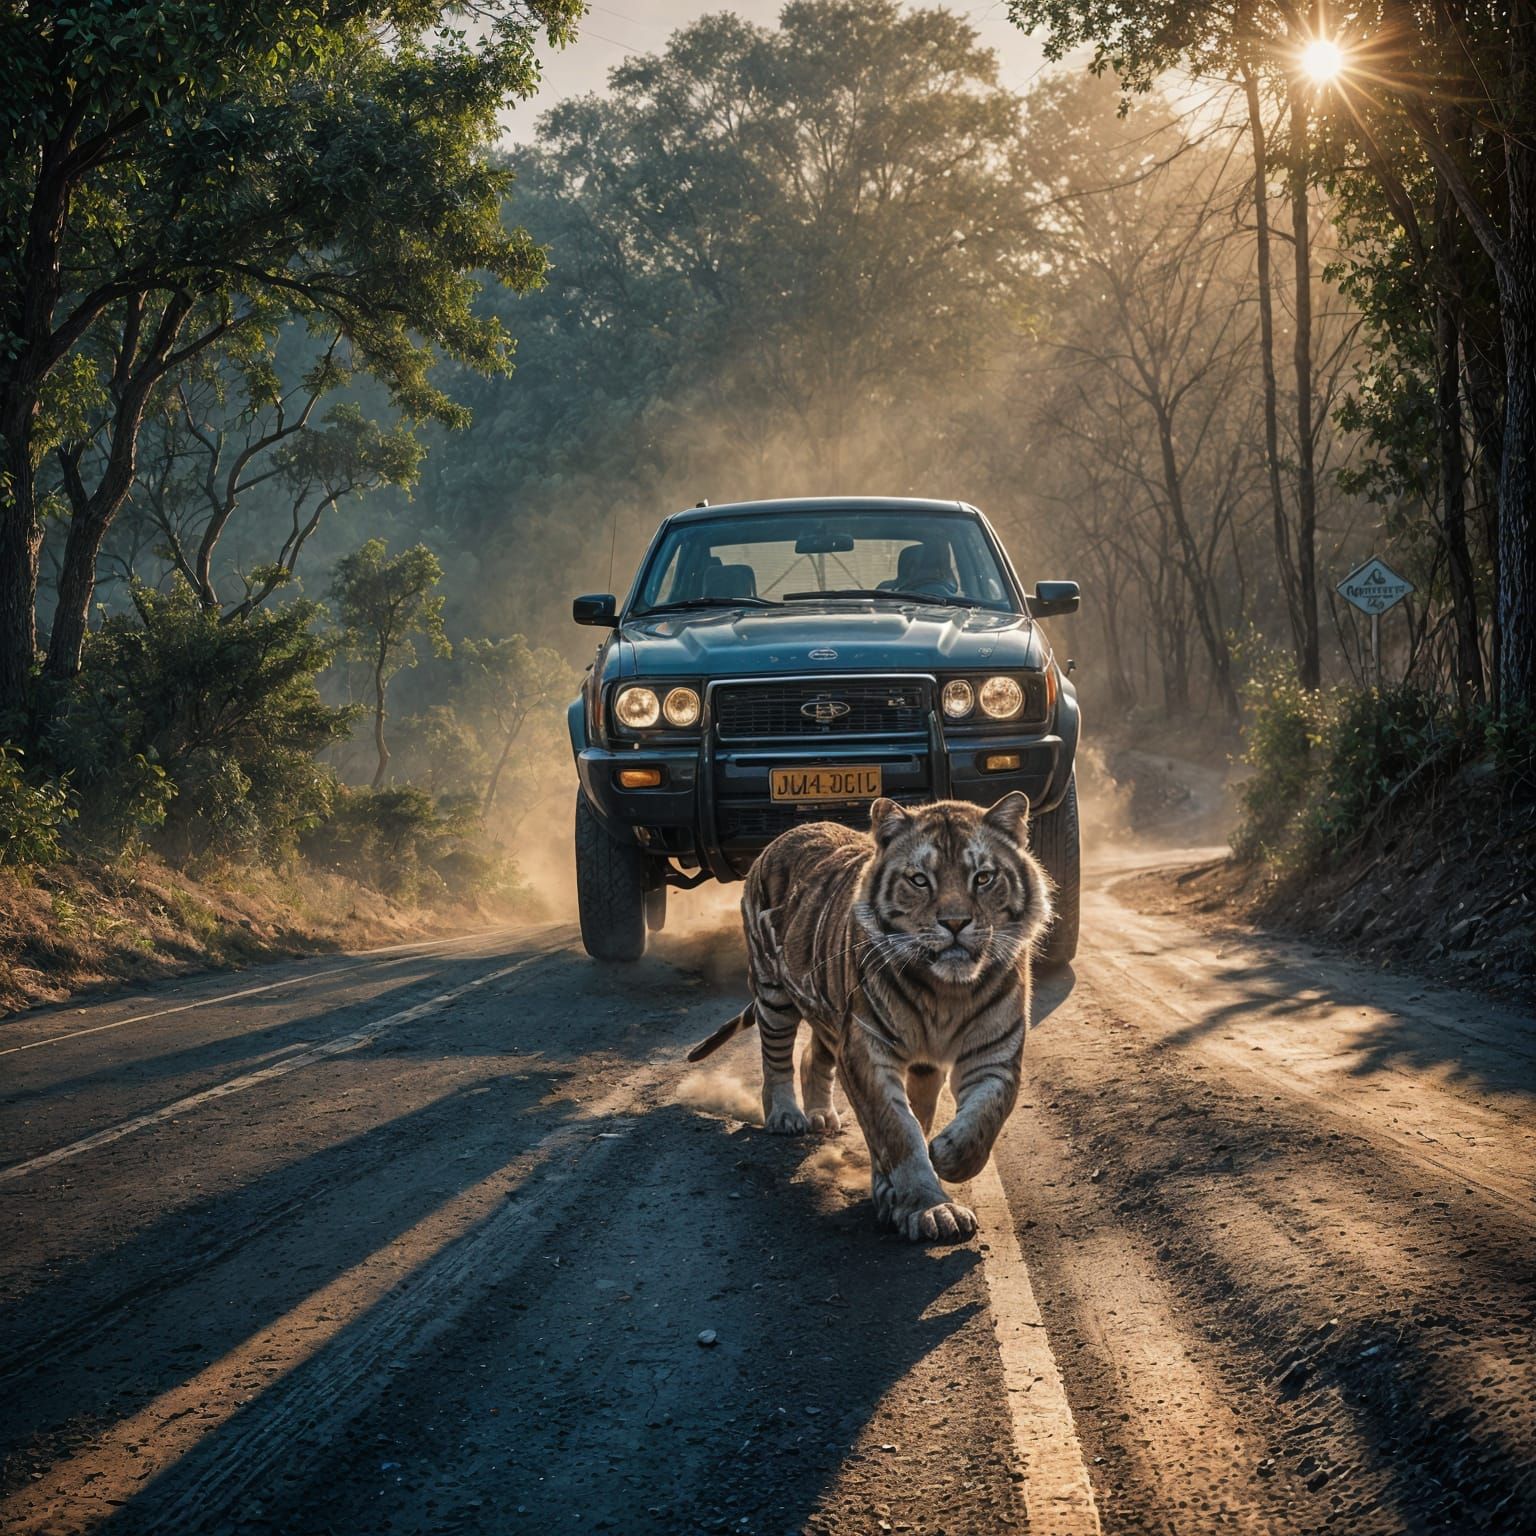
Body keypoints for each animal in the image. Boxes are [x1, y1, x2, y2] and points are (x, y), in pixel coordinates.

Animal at [687, 792, 1052, 1243]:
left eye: (982, 878)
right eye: (919, 880)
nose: (954, 923)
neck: (948, 991)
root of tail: (789, 832)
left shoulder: (993, 1052)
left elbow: (985, 1115)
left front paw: (946, 1155)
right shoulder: (866, 1047)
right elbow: (896, 1129)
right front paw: (928, 1208)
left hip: (831, 1016)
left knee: (813, 1056)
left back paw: (822, 1115)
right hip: (774, 994)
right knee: (776, 1060)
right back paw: (787, 1116)